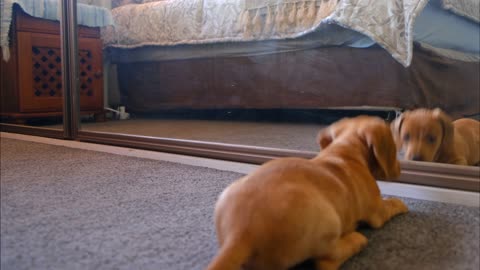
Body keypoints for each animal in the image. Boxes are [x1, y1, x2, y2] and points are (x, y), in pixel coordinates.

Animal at [207, 115, 408, 270]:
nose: (400, 169)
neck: (345, 151)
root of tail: (240, 234)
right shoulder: (378, 212)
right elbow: (390, 204)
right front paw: (400, 203)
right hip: (329, 222)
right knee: (327, 261)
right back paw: (357, 240)